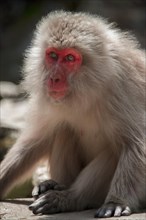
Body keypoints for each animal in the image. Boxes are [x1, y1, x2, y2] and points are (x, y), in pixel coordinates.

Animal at [0, 10, 146, 218]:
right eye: (53, 55)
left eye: (70, 58)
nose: (54, 78)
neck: (89, 89)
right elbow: (36, 139)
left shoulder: (124, 88)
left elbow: (135, 144)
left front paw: (116, 201)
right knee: (63, 129)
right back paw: (56, 185)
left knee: (114, 149)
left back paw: (70, 198)